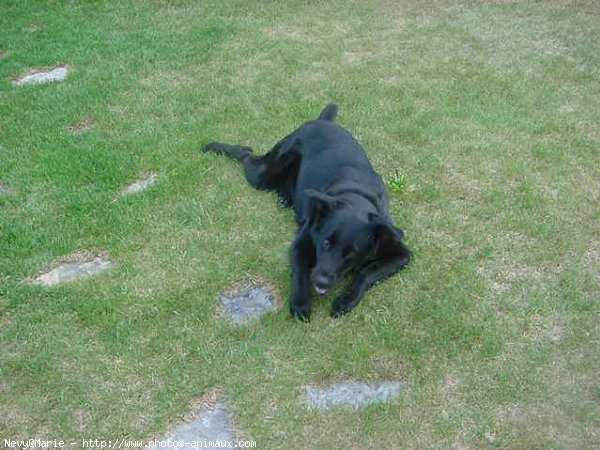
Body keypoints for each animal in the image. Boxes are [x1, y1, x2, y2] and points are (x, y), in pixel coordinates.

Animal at [204, 104, 410, 320]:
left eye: (351, 253)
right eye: (325, 243)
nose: (321, 282)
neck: (356, 198)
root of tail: (321, 121)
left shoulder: (402, 254)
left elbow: (367, 272)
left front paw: (347, 300)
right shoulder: (300, 243)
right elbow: (300, 273)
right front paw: (300, 303)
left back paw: (285, 198)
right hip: (264, 173)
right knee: (246, 153)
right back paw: (212, 146)